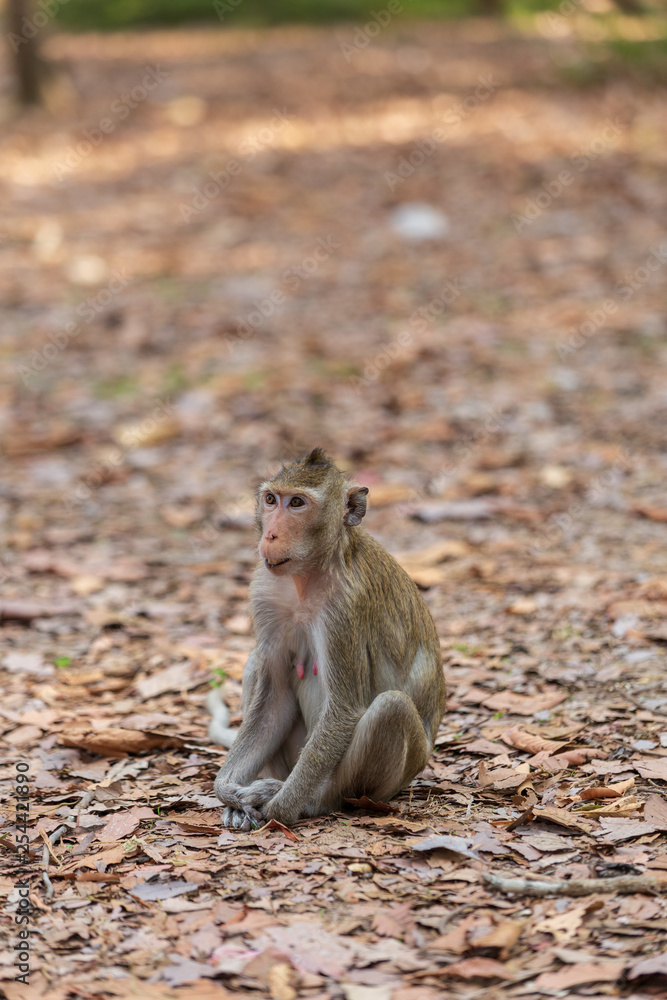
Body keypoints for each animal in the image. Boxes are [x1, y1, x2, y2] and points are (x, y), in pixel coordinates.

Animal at [211, 448, 446, 830]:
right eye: (271, 499)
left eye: (297, 503)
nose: (271, 535)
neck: (309, 574)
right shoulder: (265, 593)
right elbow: (274, 698)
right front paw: (228, 791)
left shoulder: (345, 608)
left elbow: (344, 709)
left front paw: (279, 807)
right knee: (254, 665)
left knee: (391, 707)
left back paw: (314, 801)